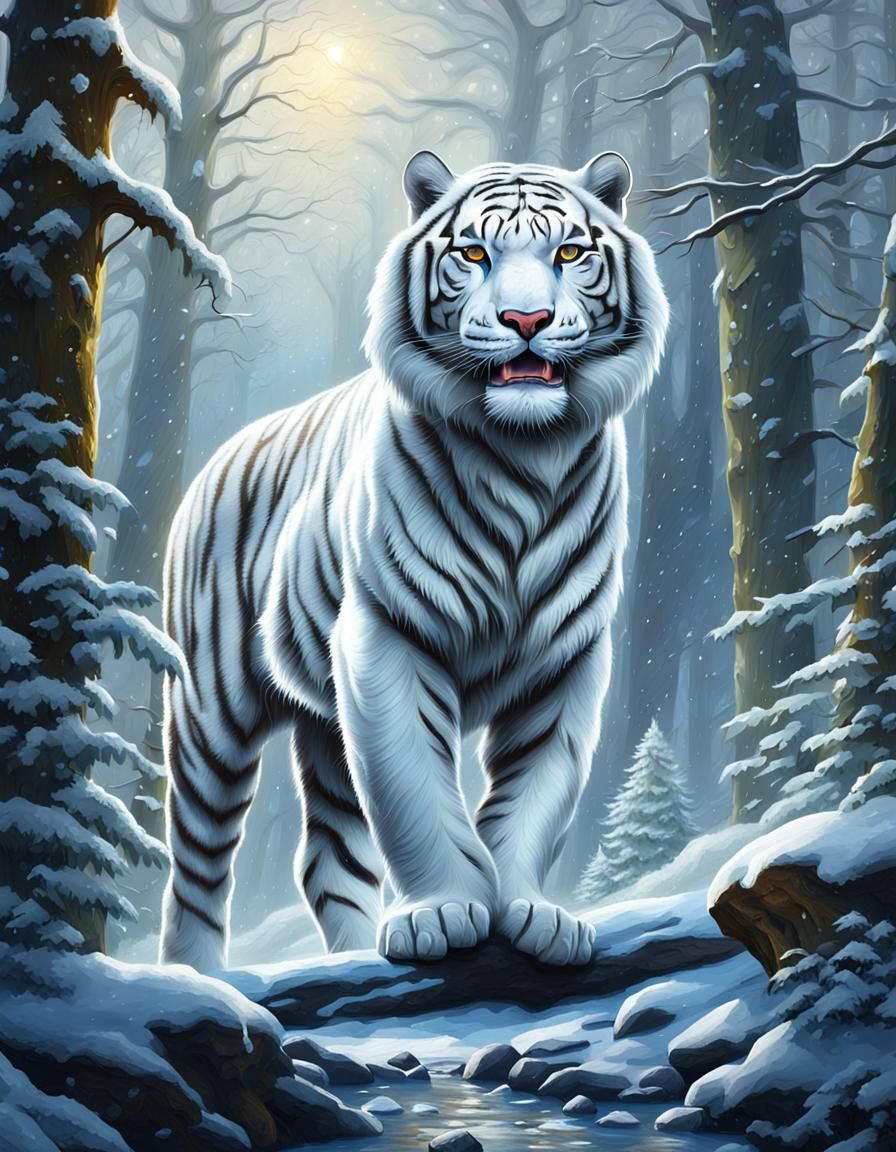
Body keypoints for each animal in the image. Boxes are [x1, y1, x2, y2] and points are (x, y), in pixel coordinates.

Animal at [159, 150, 669, 972]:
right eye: (475, 254)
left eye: (569, 253)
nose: (527, 321)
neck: (524, 459)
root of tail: (215, 460)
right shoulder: (386, 636)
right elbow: (415, 790)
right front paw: (445, 912)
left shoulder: (566, 657)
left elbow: (536, 793)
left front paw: (534, 914)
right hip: (211, 716)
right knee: (197, 871)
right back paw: (197, 979)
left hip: (324, 726)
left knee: (327, 860)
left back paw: (347, 957)